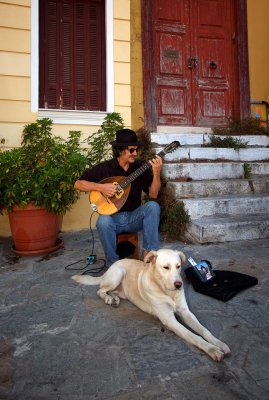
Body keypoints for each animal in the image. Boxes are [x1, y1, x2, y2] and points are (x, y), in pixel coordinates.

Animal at [72, 248, 229, 360]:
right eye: (166, 267)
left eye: (178, 266)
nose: (179, 285)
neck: (167, 292)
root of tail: (110, 268)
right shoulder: (169, 320)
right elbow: (194, 336)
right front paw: (212, 349)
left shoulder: (185, 312)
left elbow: (204, 330)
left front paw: (219, 343)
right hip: (118, 274)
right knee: (100, 290)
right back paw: (109, 299)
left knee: (113, 292)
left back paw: (114, 299)